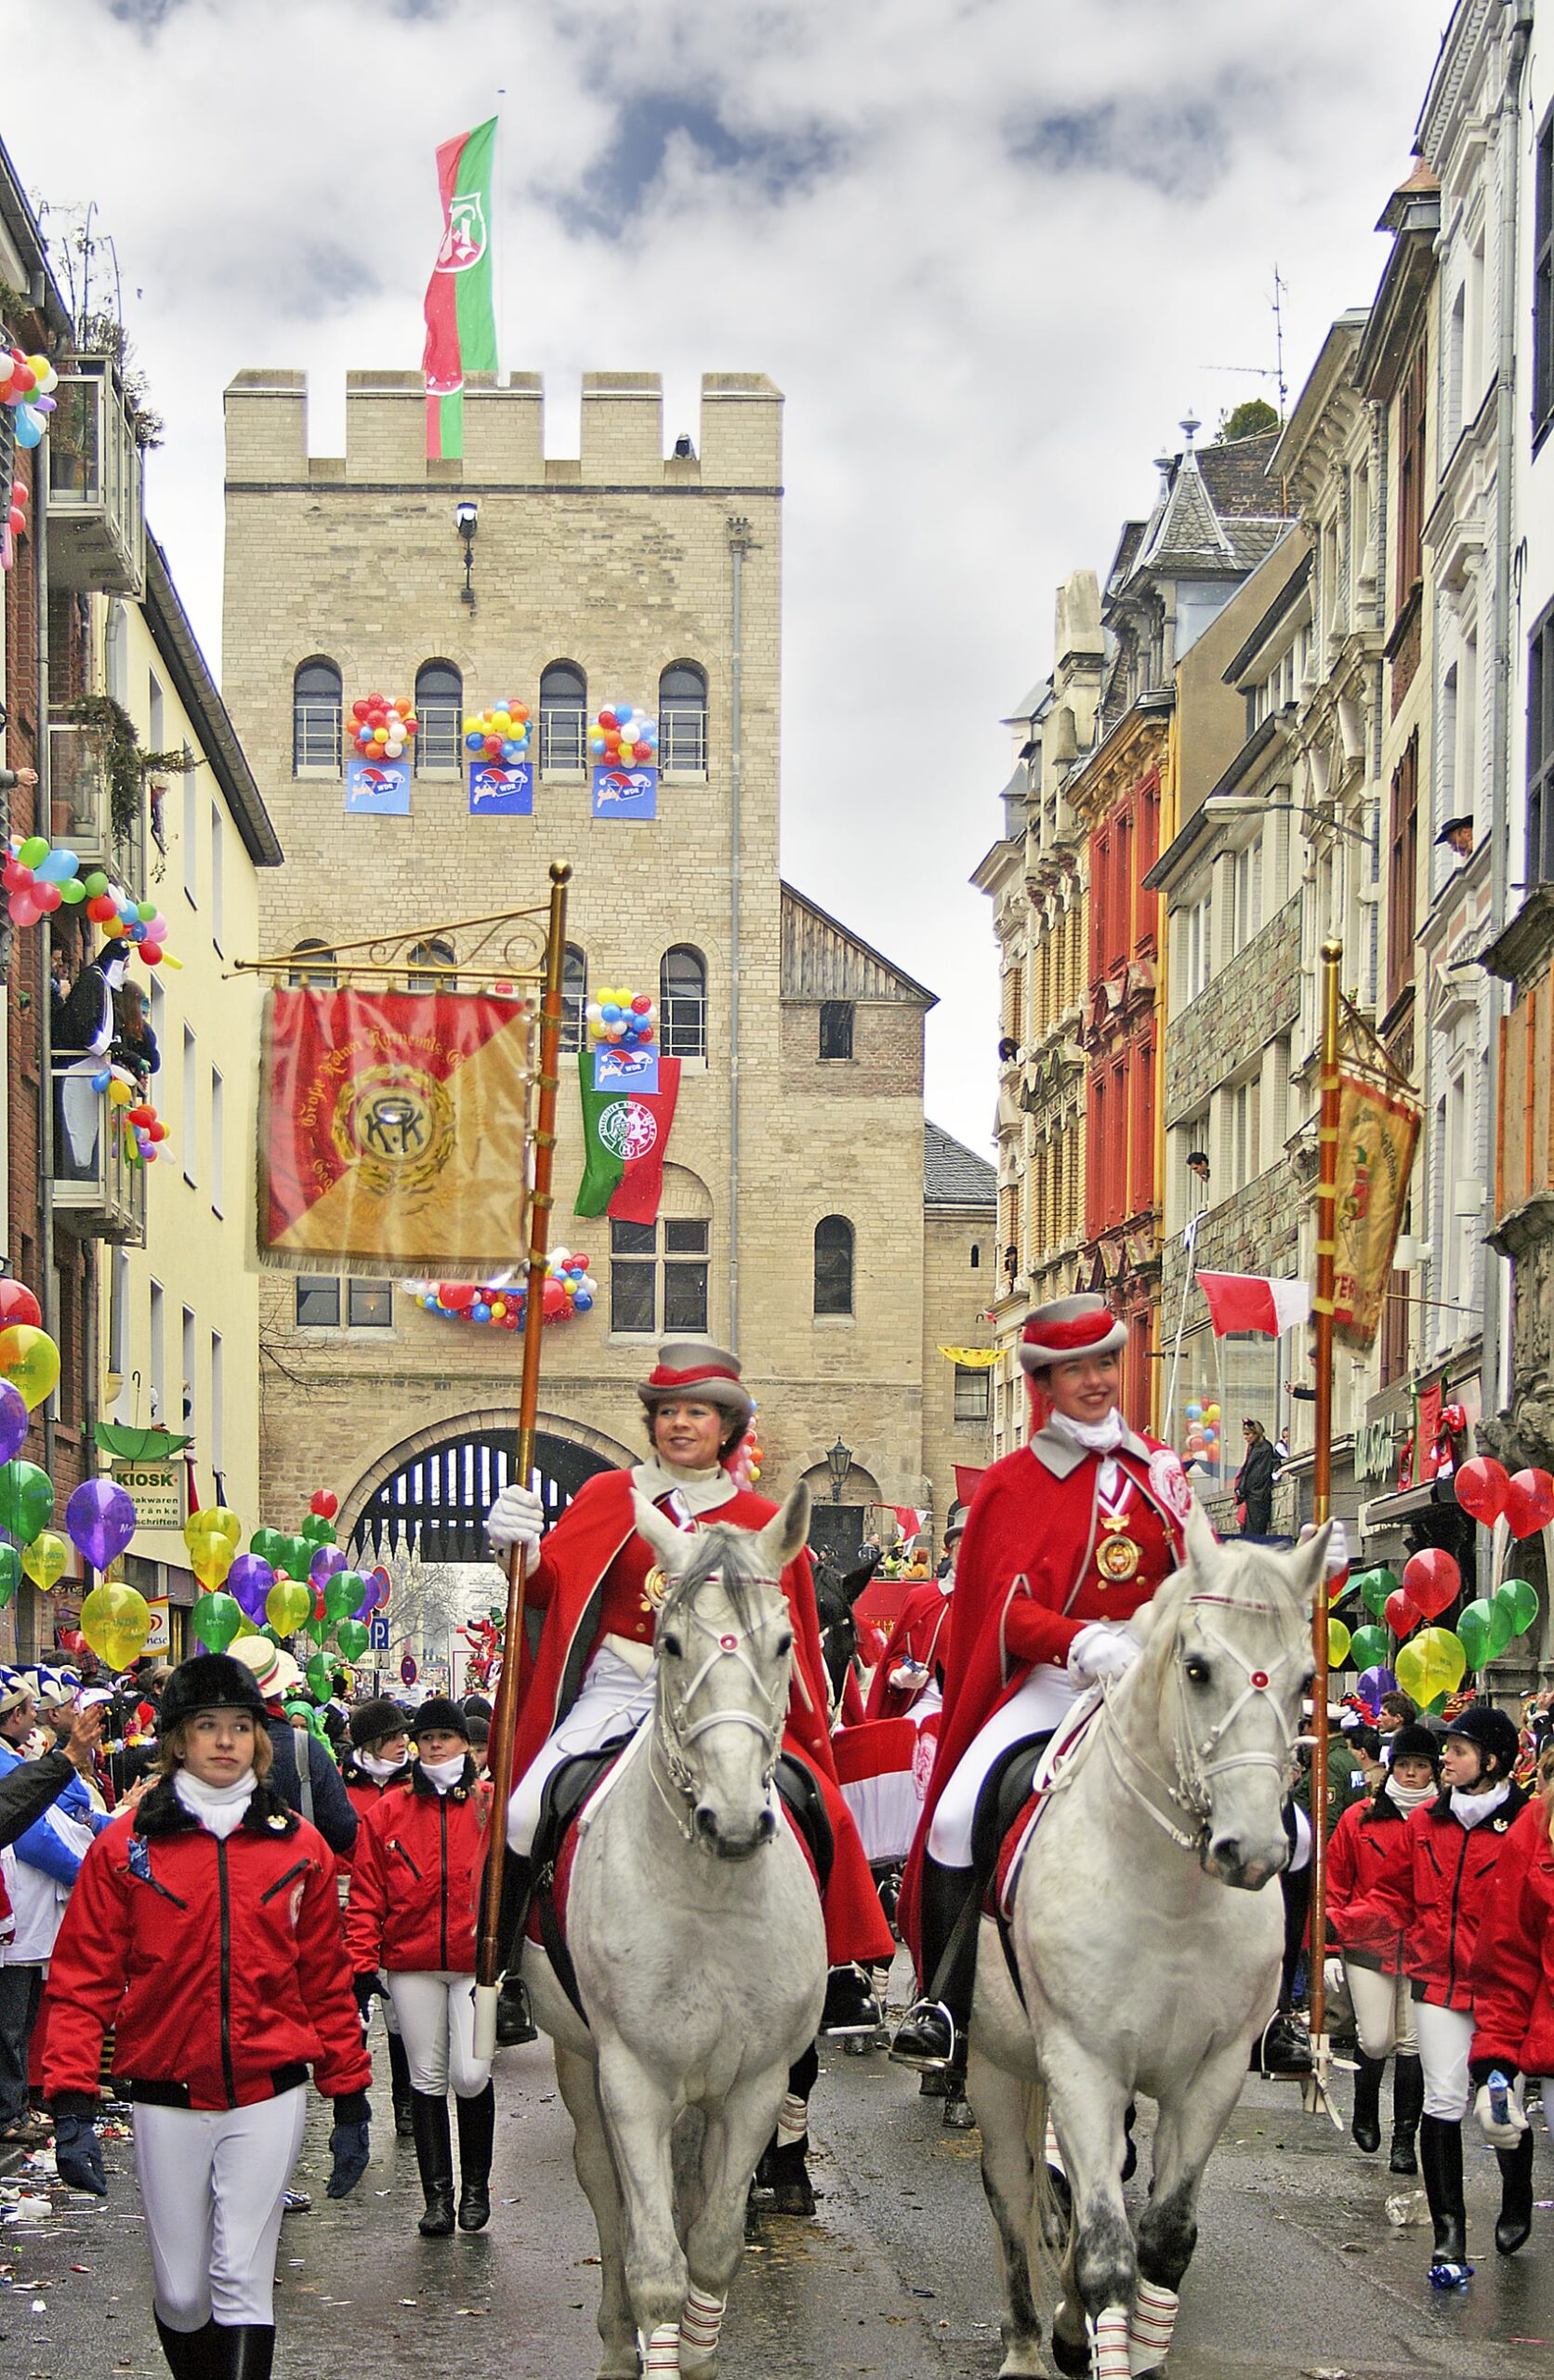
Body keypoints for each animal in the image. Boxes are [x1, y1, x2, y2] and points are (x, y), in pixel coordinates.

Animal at [523, 1475, 837, 2370]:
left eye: (782, 1644)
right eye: (666, 1644)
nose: (731, 1821)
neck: (710, 1899)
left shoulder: (755, 2084)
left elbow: (715, 2246)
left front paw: (697, 2355)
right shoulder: (633, 2080)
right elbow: (655, 2264)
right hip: (581, 2061)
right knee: (605, 2193)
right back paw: (614, 2342)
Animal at [970, 1503, 1323, 2380]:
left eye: (1306, 1680)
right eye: (1196, 1669)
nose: (1251, 1851)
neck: (1173, 1901)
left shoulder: (1212, 2071)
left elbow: (1163, 2240)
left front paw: (1129, 2343)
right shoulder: (1084, 2063)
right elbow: (1105, 2252)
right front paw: (1082, 2333)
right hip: (995, 2061)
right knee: (1012, 2189)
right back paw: (1025, 2344)